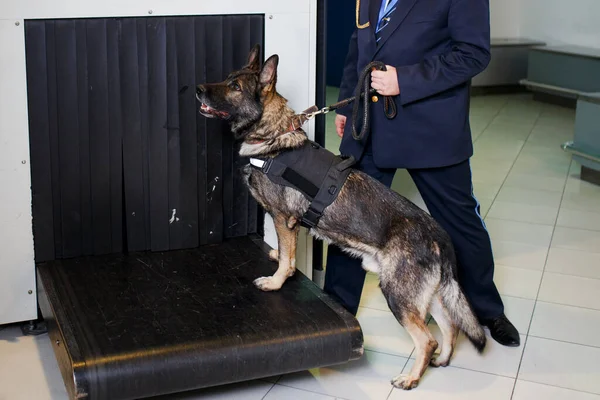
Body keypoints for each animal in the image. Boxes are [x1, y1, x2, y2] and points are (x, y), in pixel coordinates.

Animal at [197, 45, 488, 390]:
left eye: (234, 87)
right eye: (227, 78)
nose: (198, 89)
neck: (272, 137)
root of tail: (439, 236)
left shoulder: (283, 219)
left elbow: (287, 259)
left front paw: (277, 281)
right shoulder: (289, 225)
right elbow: (286, 251)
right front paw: (277, 256)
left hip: (397, 296)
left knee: (426, 339)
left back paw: (411, 377)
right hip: (426, 296)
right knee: (450, 325)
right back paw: (443, 359)